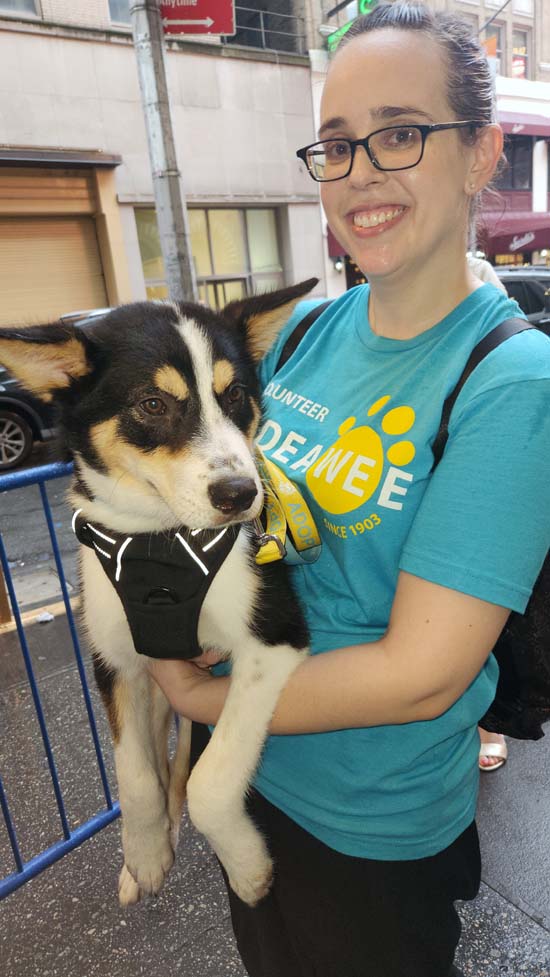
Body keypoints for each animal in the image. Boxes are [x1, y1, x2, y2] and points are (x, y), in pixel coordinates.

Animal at [0, 280, 320, 908]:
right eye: (152, 405)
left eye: (236, 393)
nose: (240, 494)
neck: (158, 540)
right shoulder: (116, 660)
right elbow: (136, 779)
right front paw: (145, 857)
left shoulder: (273, 639)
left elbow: (210, 782)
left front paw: (247, 866)